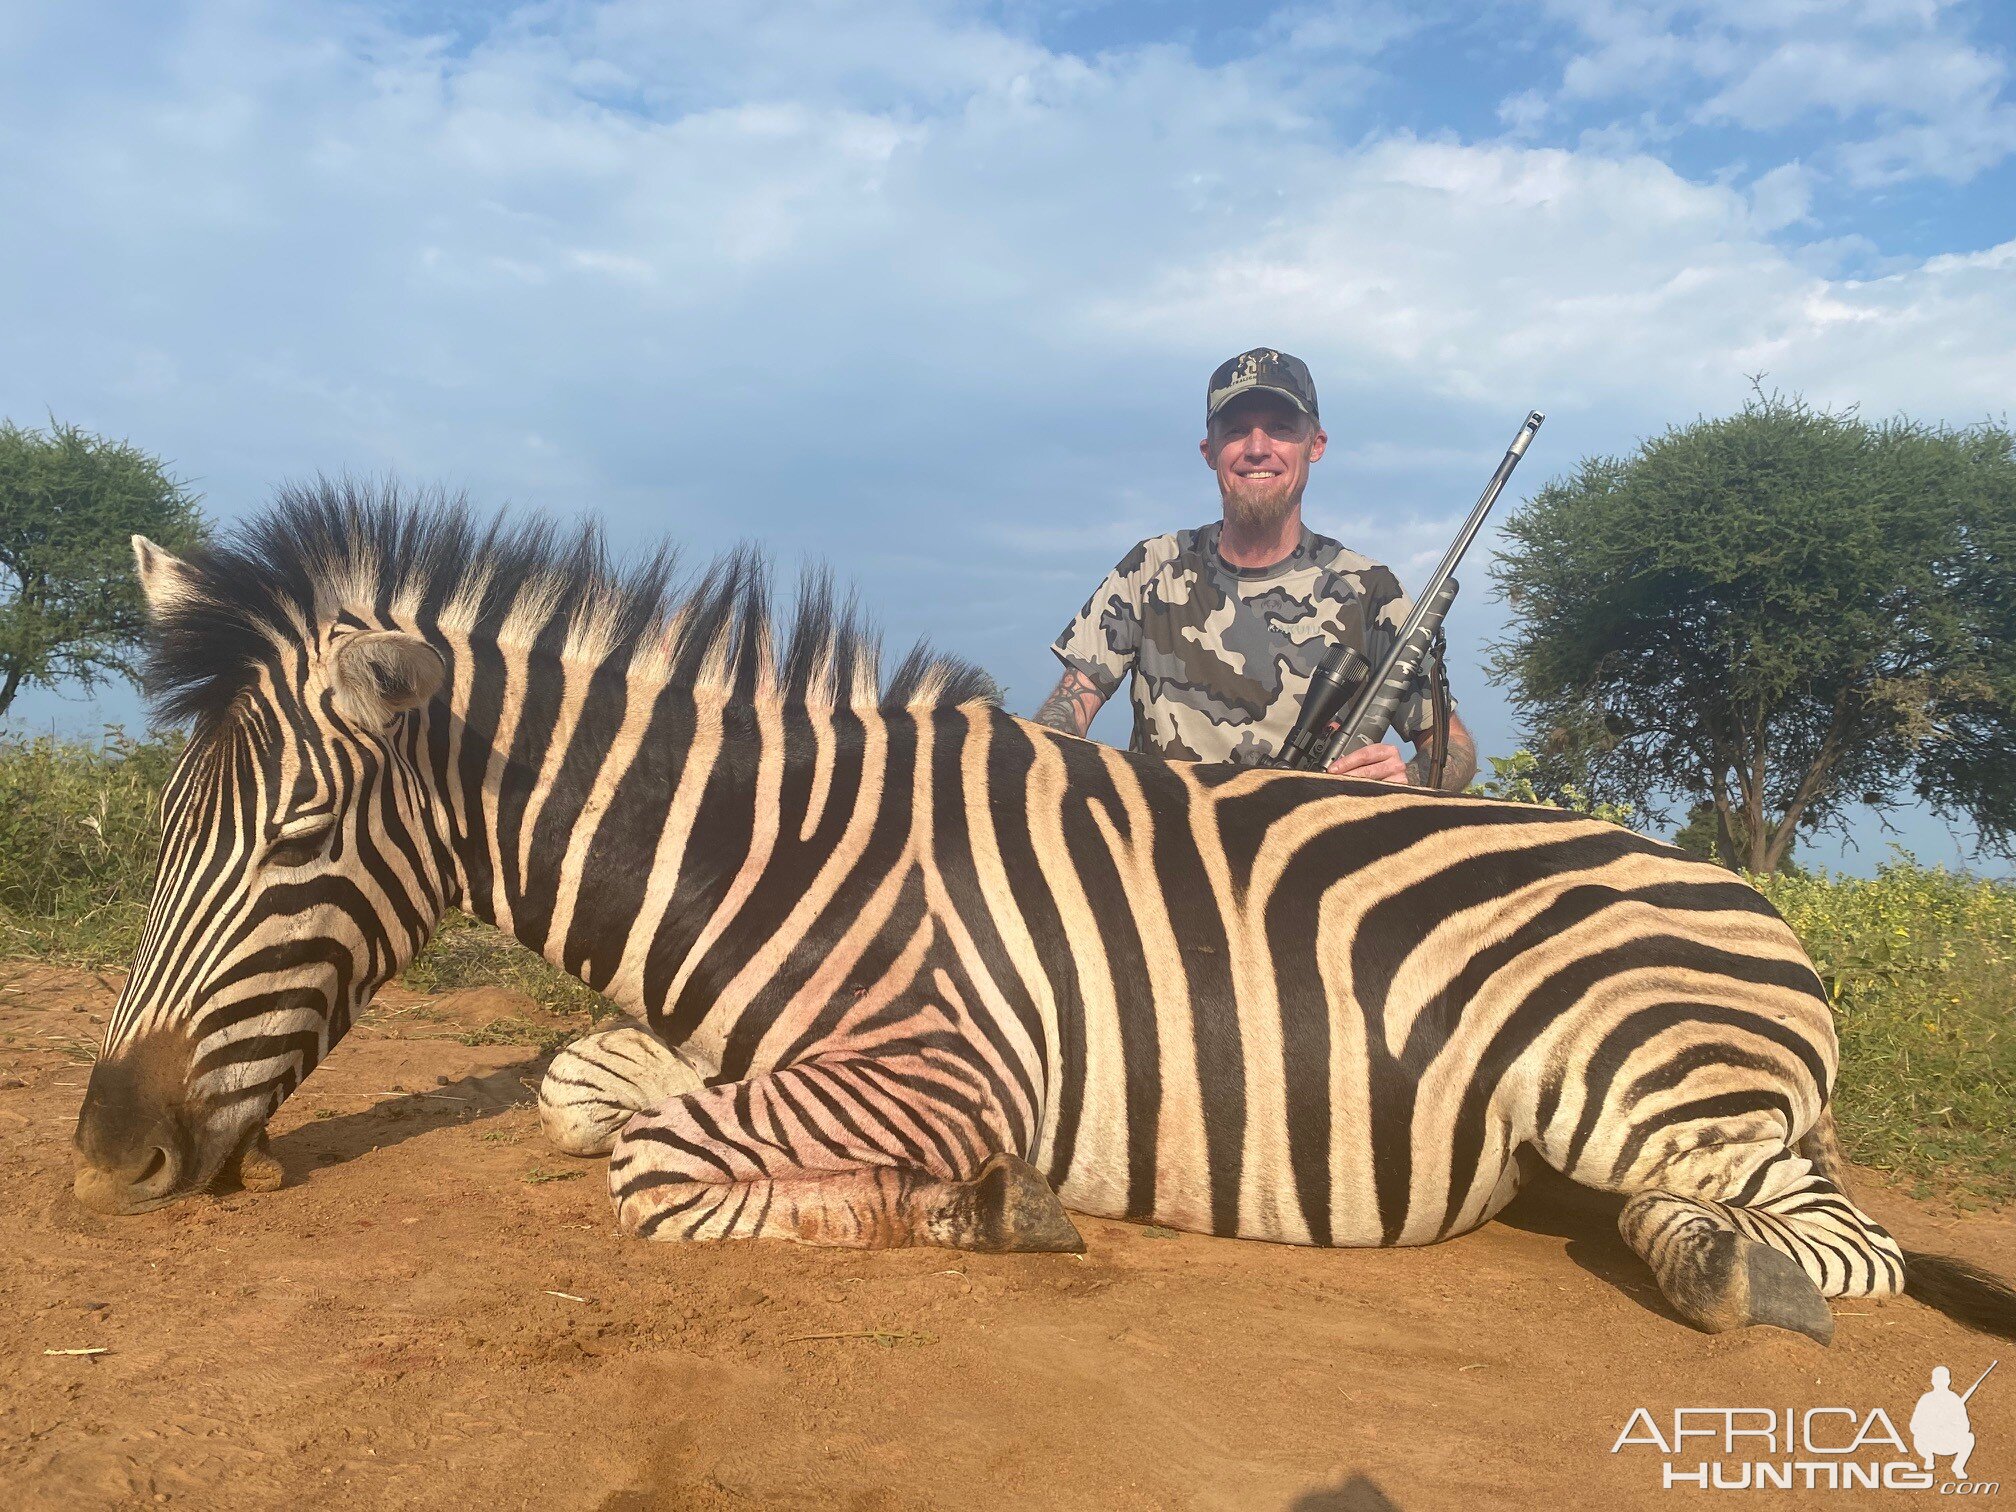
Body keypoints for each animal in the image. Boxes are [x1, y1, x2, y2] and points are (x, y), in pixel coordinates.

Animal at [71, 487, 2007, 1346]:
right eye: (160, 826)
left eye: (299, 836)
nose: (103, 1156)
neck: (783, 854)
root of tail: (1744, 895)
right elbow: (584, 1091)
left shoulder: (944, 1065)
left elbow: (654, 1165)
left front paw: (973, 1210)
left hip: (1654, 1087)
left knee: (1836, 1243)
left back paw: (1719, 1271)